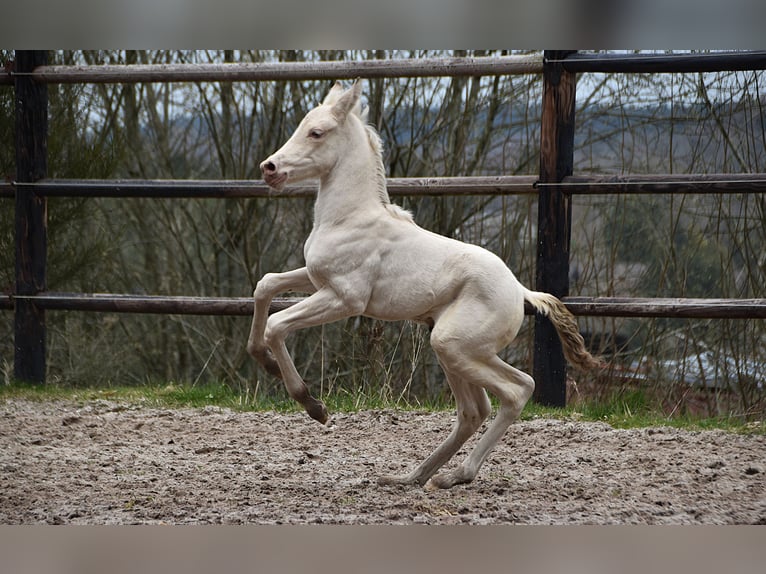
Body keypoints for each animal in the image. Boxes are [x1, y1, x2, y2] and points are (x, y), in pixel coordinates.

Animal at [247, 80, 601, 489]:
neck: (349, 217)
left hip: (455, 345)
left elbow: (277, 324)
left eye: (317, 132)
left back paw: (457, 475)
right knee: (475, 410)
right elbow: (265, 286)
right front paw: (263, 360)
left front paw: (313, 406)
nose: (269, 168)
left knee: (516, 391)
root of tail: (521, 292)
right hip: (456, 350)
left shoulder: (345, 299)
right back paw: (413, 476)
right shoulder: (314, 277)